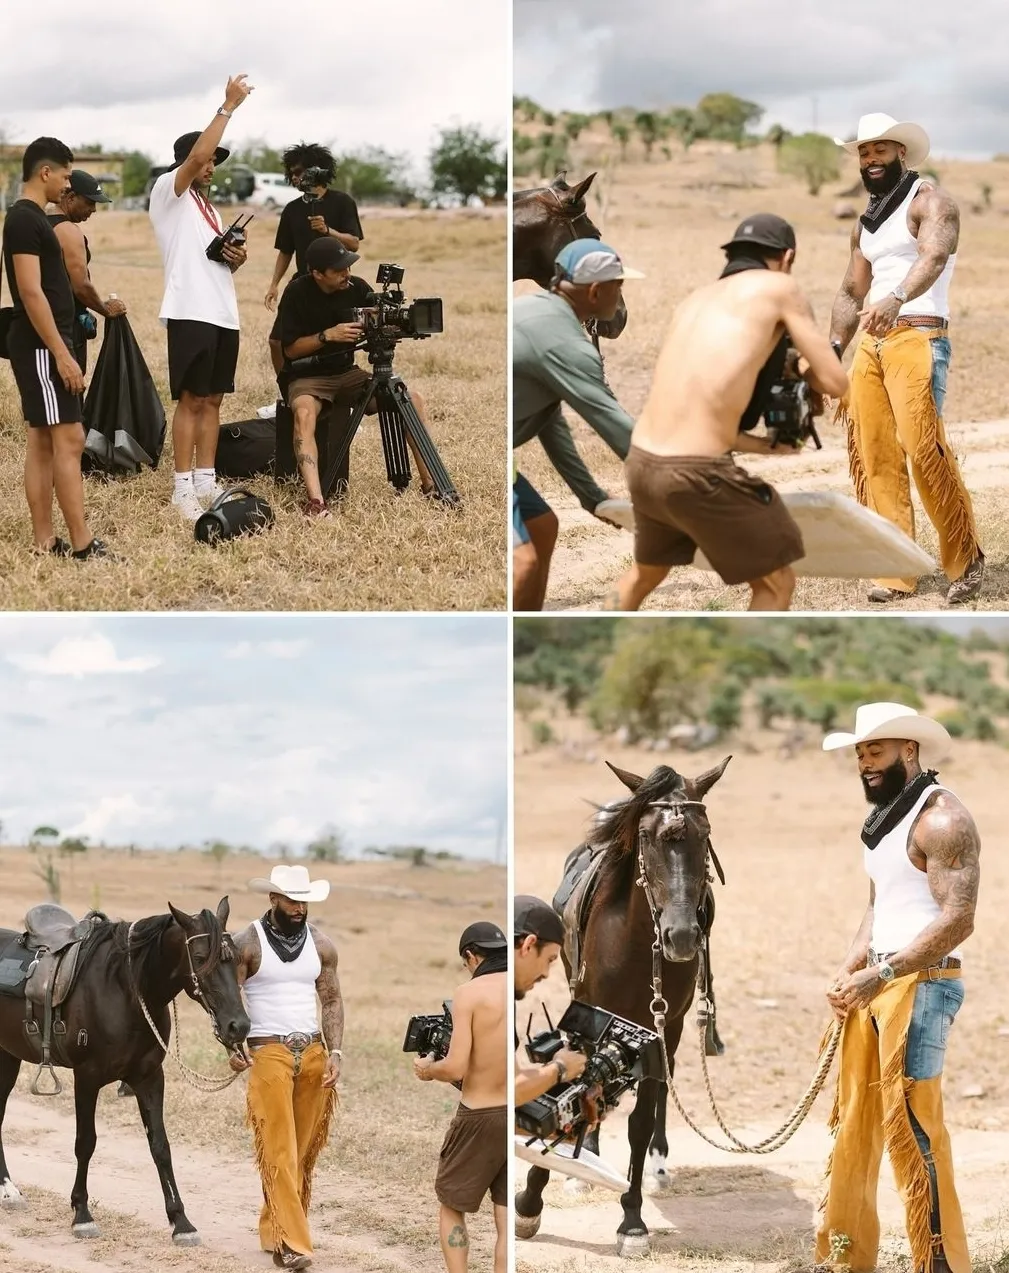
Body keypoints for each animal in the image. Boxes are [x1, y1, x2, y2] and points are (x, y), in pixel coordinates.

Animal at [0, 901, 249, 1247]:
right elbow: (85, 1143)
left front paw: (181, 1222)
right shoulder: (87, 1077)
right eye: (200, 958)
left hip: (8, 1057)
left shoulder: (149, 1078)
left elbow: (160, 1146)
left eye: (236, 957)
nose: (238, 1026)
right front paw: (82, 1215)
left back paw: (9, 1191)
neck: (124, 989)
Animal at [516, 758, 727, 1257]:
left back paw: (658, 1166)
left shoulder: (663, 1025)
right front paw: (531, 1200)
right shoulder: (589, 1010)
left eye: (705, 833)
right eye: (646, 835)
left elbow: (641, 1119)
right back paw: (586, 1160)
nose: (681, 937)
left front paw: (632, 1221)